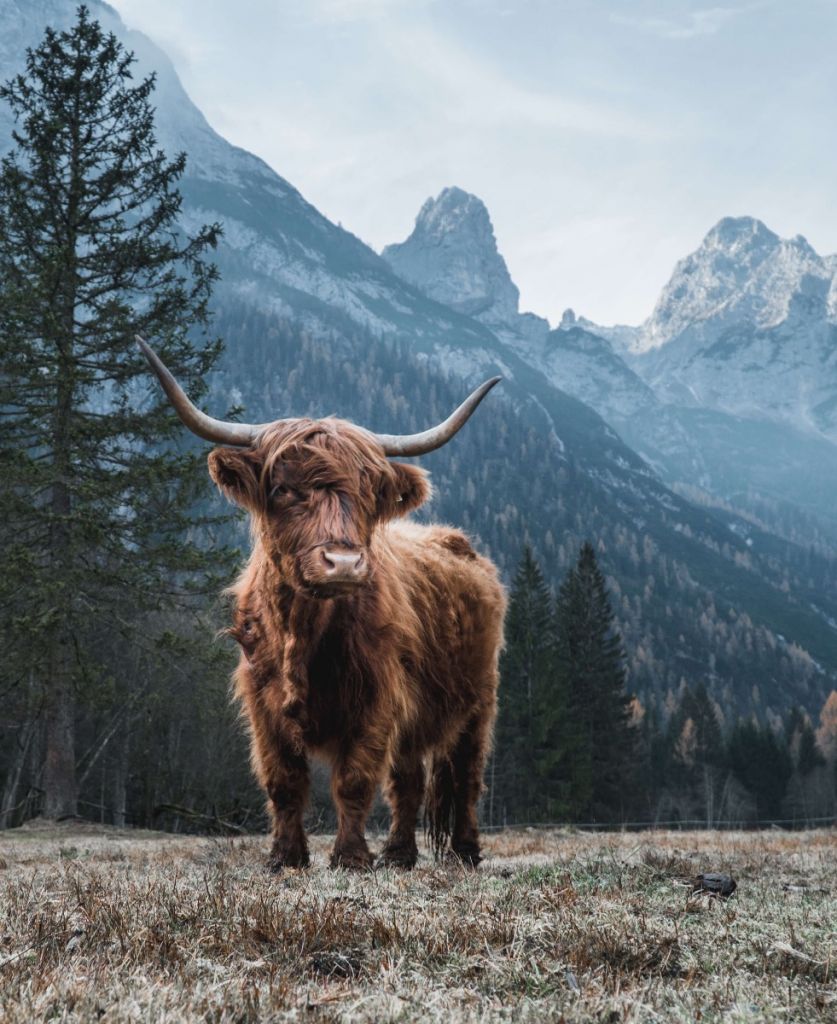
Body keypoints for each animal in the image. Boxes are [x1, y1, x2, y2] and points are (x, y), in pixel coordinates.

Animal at [137, 339, 501, 868]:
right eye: (284, 489)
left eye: (368, 493)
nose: (344, 563)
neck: (303, 632)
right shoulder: (262, 703)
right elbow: (283, 782)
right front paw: (285, 857)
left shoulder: (377, 699)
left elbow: (354, 781)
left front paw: (349, 858)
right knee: (409, 781)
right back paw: (399, 854)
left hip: (479, 701)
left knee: (466, 776)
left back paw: (465, 852)